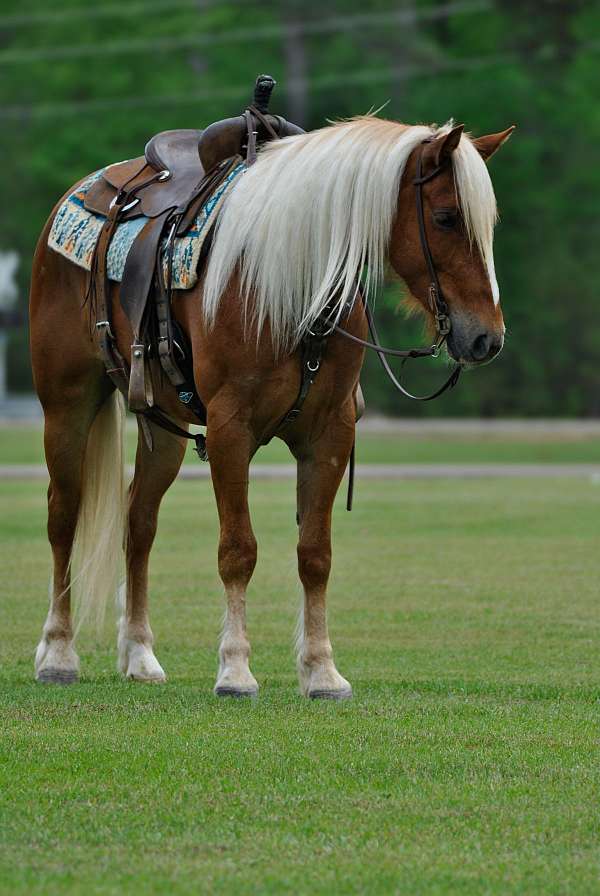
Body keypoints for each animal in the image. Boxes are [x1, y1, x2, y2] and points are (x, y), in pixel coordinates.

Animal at [30, 115, 512, 698]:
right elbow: (238, 550)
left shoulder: (330, 434)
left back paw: (140, 654)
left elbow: (315, 554)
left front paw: (322, 670)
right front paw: (235, 669)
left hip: (162, 432)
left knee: (138, 523)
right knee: (63, 516)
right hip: (67, 405)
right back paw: (58, 652)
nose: (487, 338)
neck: (293, 283)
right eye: (445, 218)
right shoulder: (230, 429)